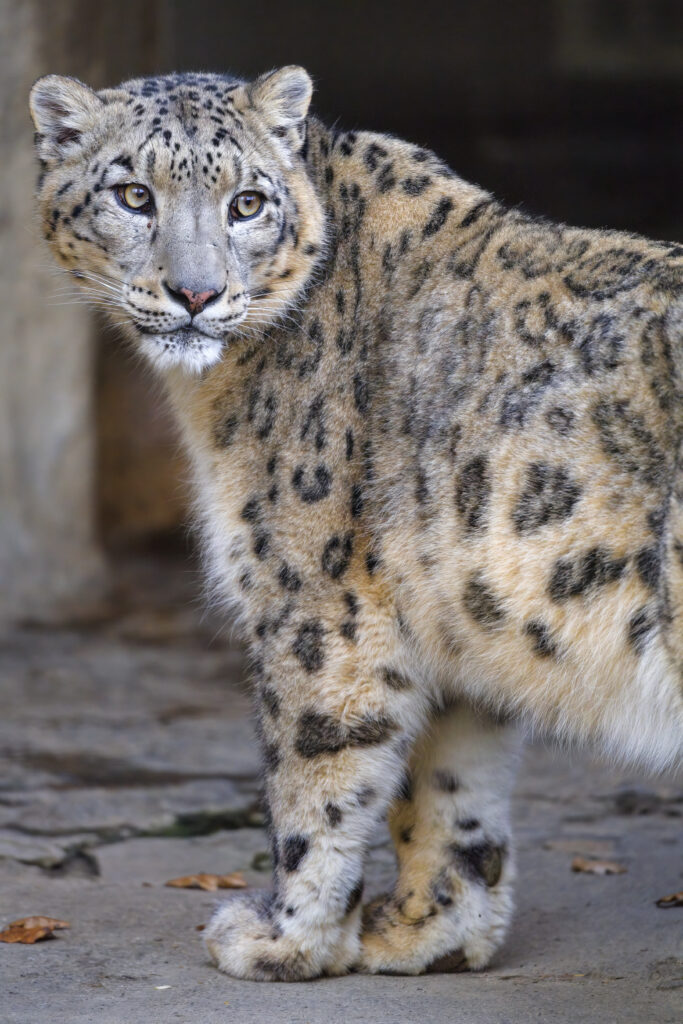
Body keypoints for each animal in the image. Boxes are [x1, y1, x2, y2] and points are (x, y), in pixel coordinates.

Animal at [30, 66, 682, 981]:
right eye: (133, 195)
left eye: (247, 202)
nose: (196, 293)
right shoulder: (457, 608)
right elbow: (451, 786)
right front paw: (427, 931)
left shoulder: (315, 599)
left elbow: (318, 773)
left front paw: (287, 938)